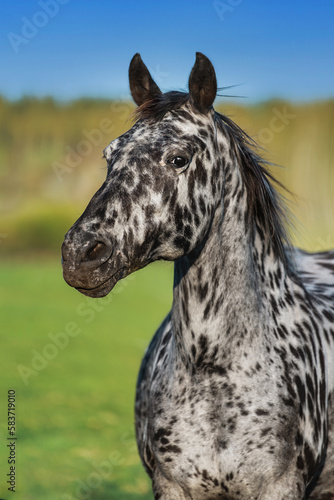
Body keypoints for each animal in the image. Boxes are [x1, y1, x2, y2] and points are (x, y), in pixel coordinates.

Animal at [62, 52, 334, 498]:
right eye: (109, 155)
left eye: (178, 158)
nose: (80, 254)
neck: (214, 371)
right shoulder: (172, 486)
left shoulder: (280, 487)